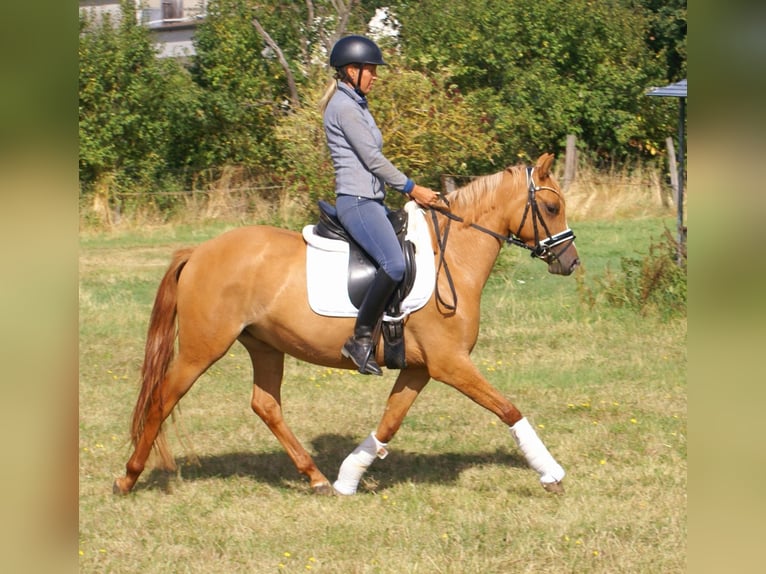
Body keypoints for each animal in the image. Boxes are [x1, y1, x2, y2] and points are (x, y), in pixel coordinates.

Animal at [113, 153, 580, 496]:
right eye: (551, 207)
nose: (569, 262)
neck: (452, 255)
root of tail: (198, 251)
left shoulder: (420, 368)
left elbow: (389, 422)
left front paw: (347, 478)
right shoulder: (450, 363)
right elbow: (508, 408)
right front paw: (551, 473)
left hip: (265, 346)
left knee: (266, 405)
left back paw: (316, 478)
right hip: (202, 348)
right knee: (163, 398)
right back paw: (128, 477)